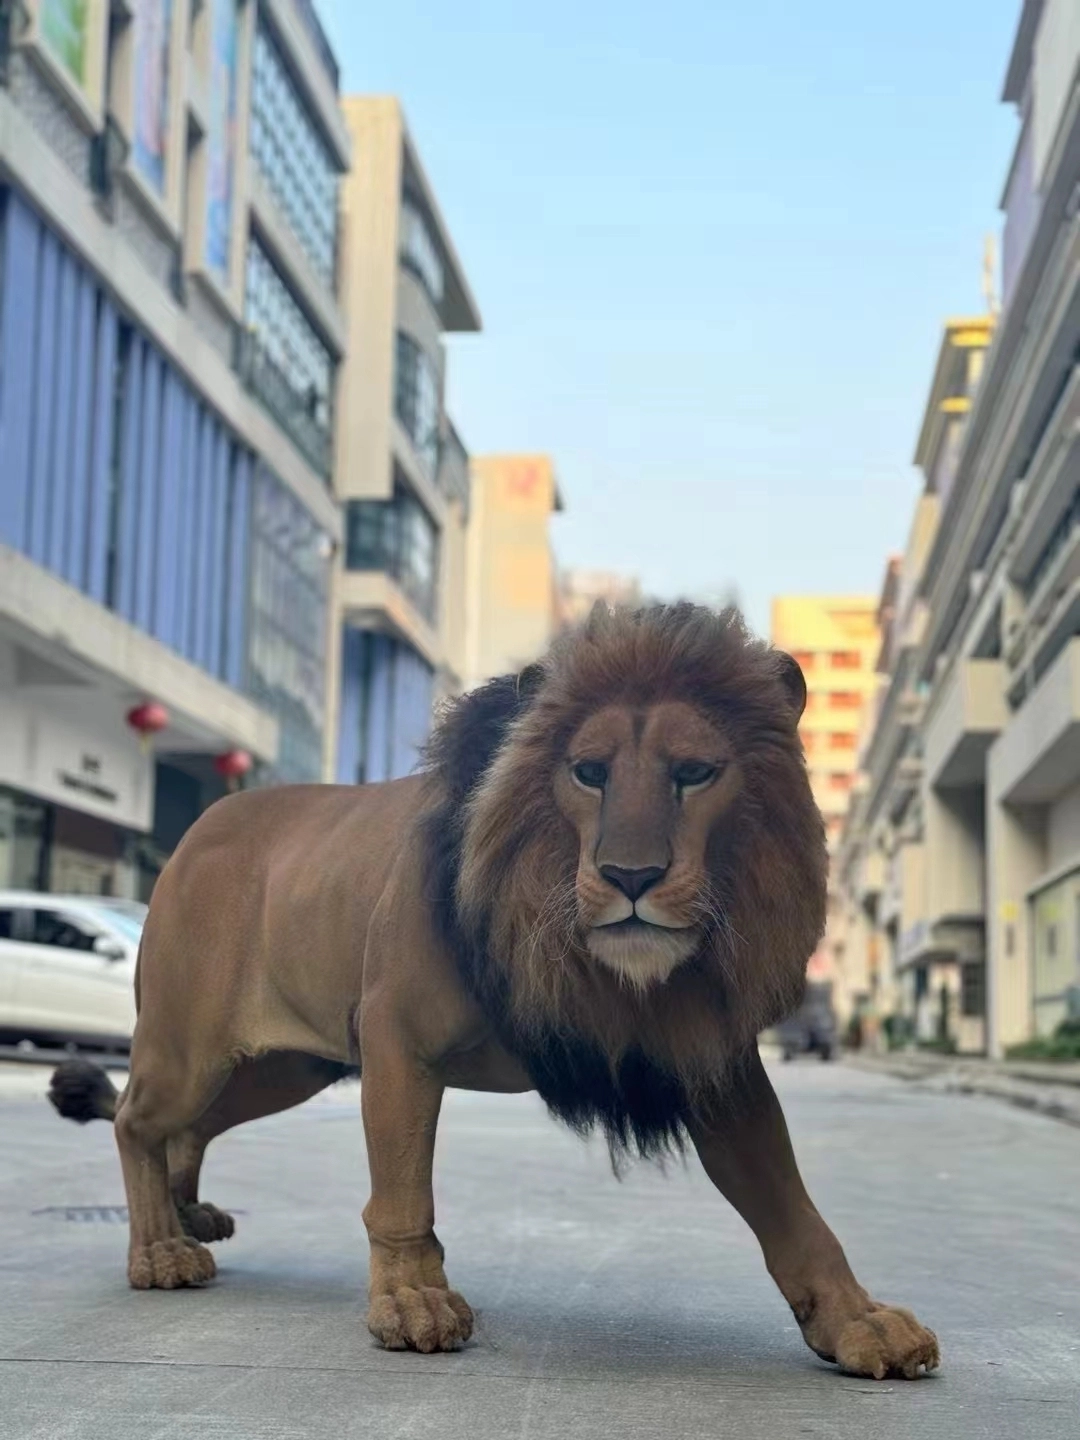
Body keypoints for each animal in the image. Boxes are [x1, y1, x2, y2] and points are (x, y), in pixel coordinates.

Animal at [50, 603, 939, 1380]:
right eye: (588, 774)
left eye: (694, 774)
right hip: (190, 1049)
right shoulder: (398, 1035)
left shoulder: (710, 1062)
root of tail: (196, 831)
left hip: (283, 1068)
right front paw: (411, 1301)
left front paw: (859, 1321)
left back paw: (186, 1215)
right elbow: (402, 1192)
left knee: (191, 1129)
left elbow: (793, 1207)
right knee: (137, 1121)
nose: (631, 877)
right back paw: (158, 1248)